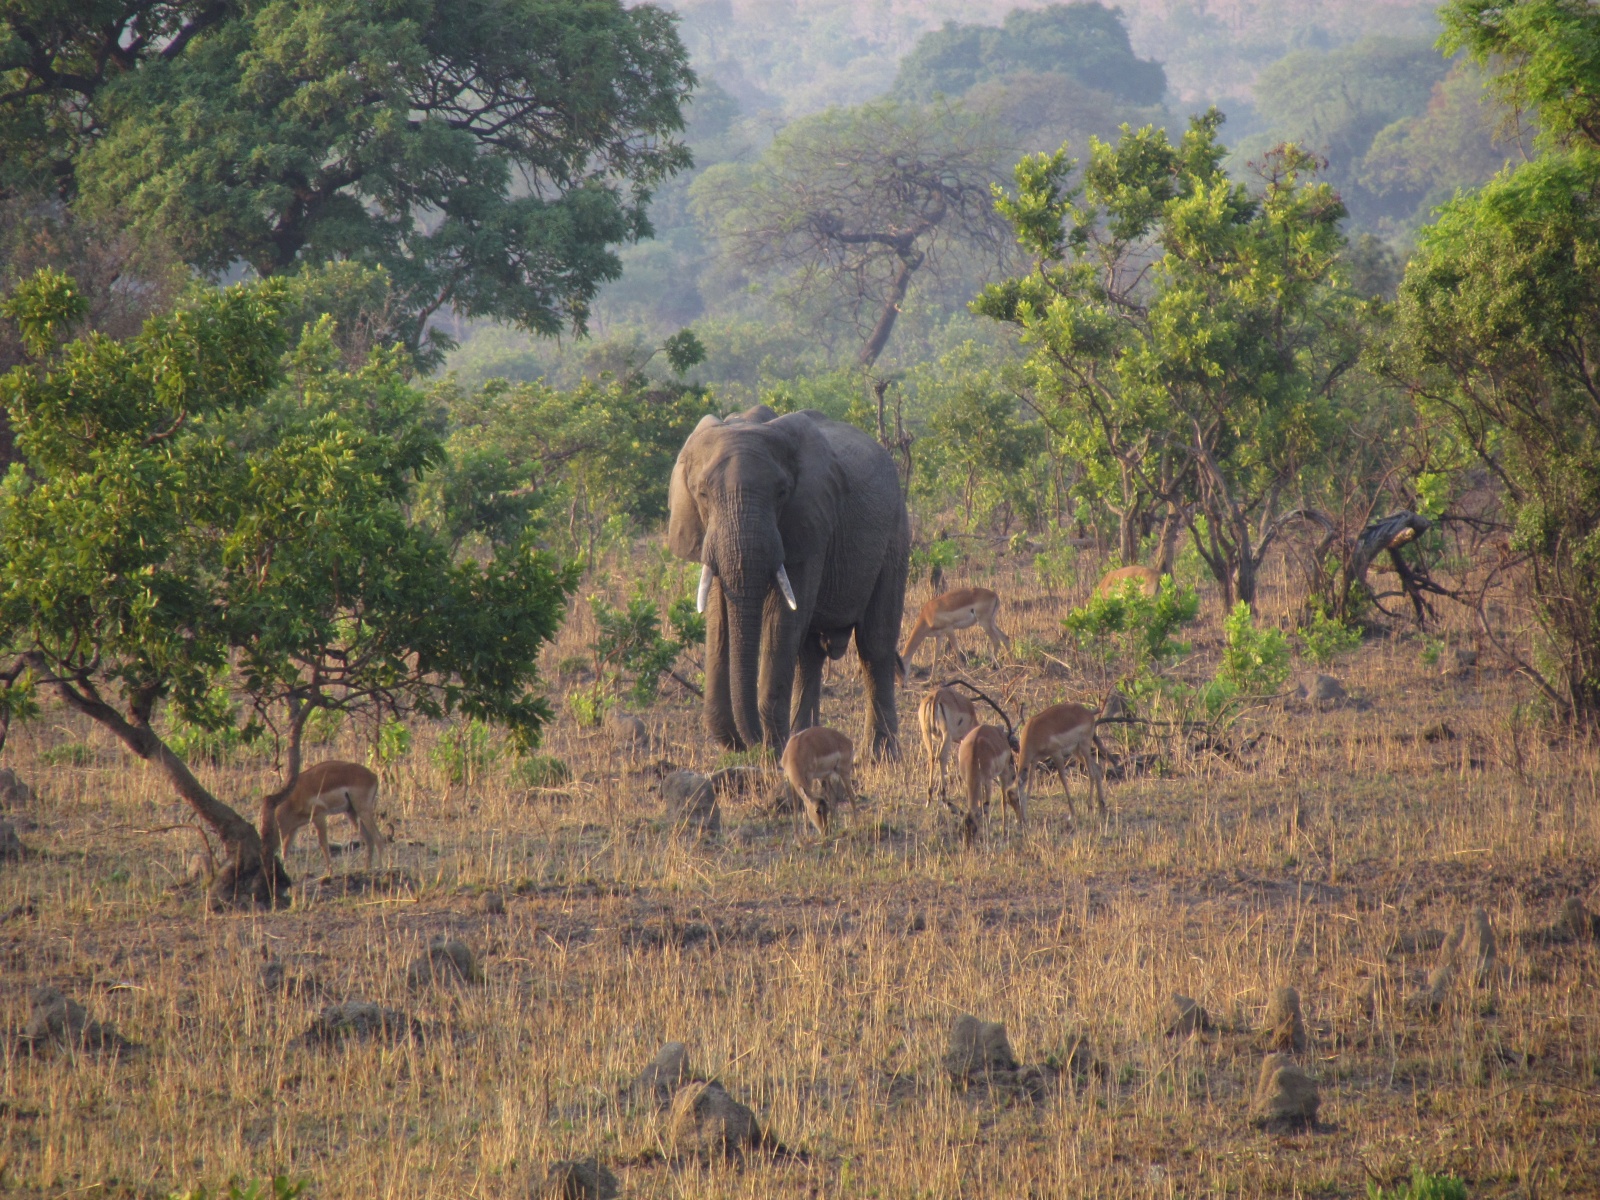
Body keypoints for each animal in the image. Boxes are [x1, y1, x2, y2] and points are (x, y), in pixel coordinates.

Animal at [667, 404, 910, 758]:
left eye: (781, 493)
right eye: (702, 494)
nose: (748, 744)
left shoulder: (811, 522)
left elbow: (782, 619)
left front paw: (773, 752)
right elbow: (719, 617)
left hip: (895, 532)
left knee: (874, 644)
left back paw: (880, 756)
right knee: (810, 653)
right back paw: (805, 741)